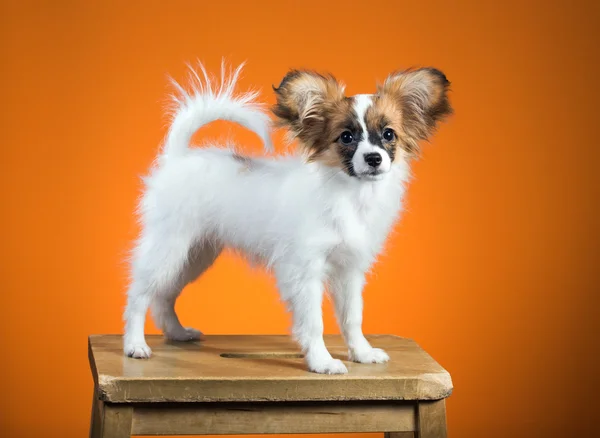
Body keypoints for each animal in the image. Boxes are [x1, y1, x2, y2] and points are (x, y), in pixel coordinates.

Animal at [123, 63, 450, 374]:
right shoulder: (303, 270)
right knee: (139, 294)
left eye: (388, 134)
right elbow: (314, 322)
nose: (373, 159)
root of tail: (177, 158)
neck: (349, 195)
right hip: (170, 246)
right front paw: (322, 362)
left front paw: (362, 353)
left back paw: (177, 333)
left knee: (164, 295)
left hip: (195, 254)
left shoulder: (349, 270)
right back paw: (134, 345)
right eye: (346, 137)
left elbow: (352, 317)